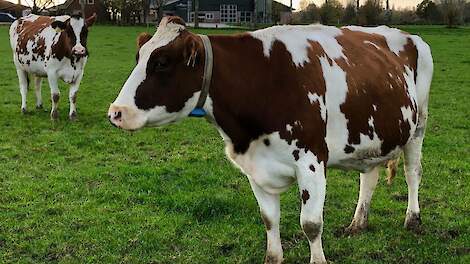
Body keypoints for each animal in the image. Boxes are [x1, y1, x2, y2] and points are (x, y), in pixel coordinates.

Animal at [107, 17, 434, 264]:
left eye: (162, 63)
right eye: (139, 58)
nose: (116, 112)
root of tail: (406, 34)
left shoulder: (312, 162)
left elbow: (310, 224)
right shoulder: (256, 167)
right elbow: (269, 220)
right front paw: (273, 257)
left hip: (418, 125)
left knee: (413, 172)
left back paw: (413, 219)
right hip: (374, 136)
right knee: (369, 176)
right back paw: (358, 223)